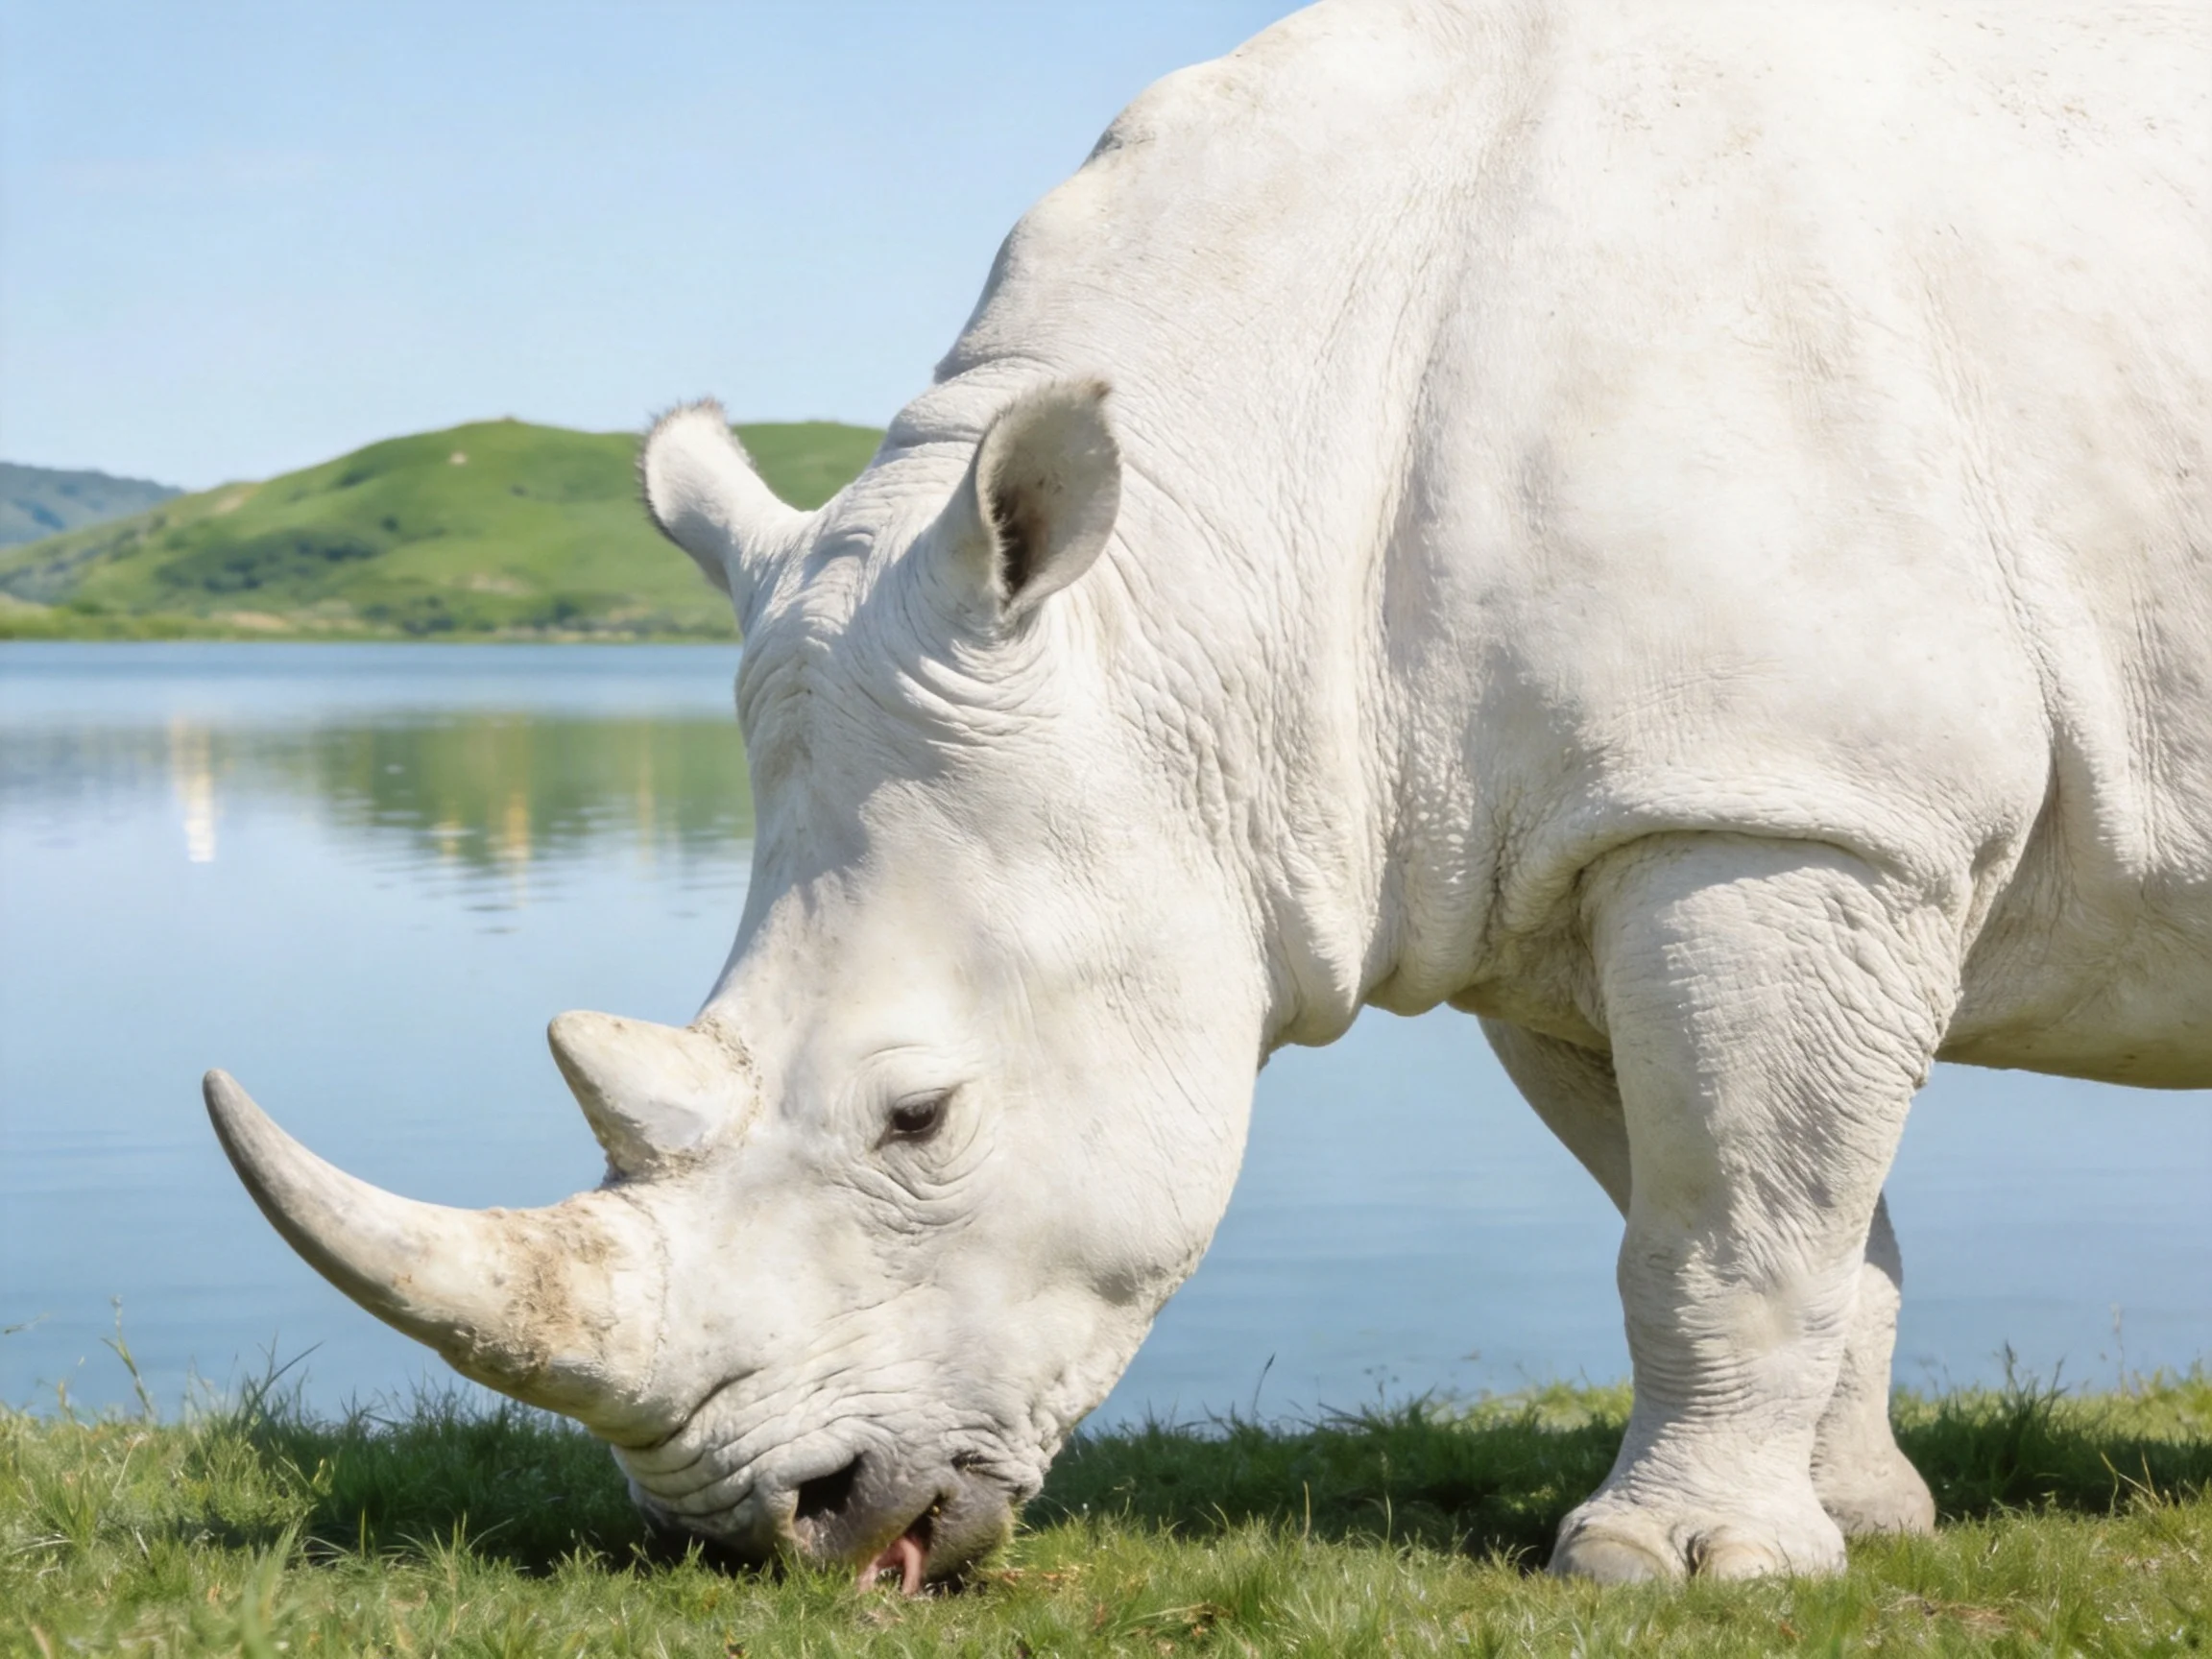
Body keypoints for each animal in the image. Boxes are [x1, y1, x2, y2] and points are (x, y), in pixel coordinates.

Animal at [205, 0, 2209, 1586]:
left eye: (919, 1118)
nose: (762, 1521)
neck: (1225, 544)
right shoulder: (1587, 830)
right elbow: (1756, 1208)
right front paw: (1857, 1522)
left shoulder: (1779, 802)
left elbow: (1725, 1219)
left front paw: (1675, 1565)